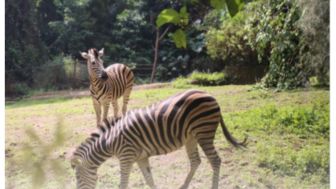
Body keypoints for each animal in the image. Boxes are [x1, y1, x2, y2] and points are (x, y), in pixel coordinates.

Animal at [71, 89, 247, 189]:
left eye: (78, 177)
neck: (110, 141)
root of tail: (209, 94)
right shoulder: (140, 157)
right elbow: (149, 180)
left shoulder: (126, 157)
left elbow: (123, 183)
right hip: (191, 137)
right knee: (196, 161)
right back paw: (183, 186)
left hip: (204, 133)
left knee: (215, 161)